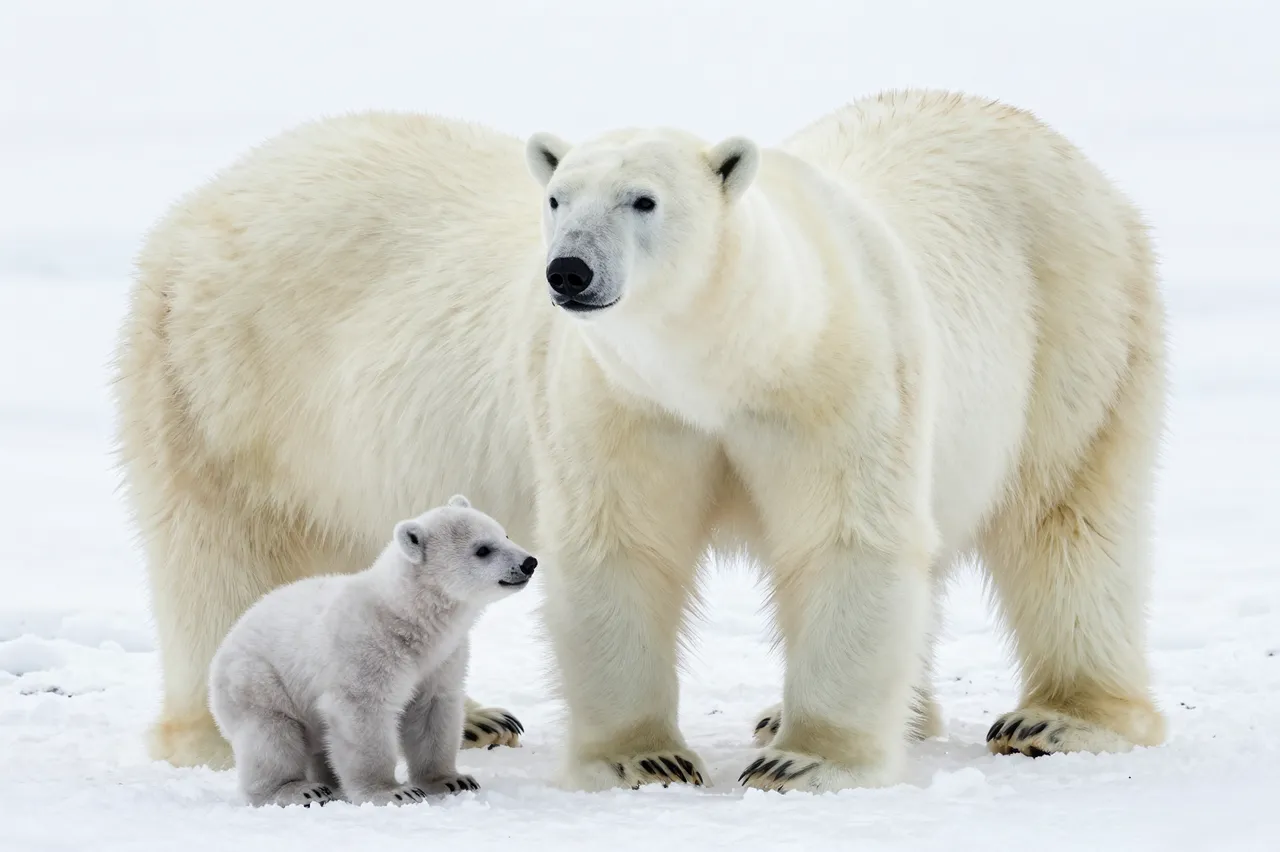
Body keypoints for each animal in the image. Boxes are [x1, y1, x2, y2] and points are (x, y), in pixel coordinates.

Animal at [207, 494, 538, 807]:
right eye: (482, 549)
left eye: (504, 534)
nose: (529, 562)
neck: (407, 615)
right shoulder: (367, 648)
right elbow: (363, 714)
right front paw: (392, 792)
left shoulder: (443, 657)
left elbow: (431, 712)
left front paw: (452, 780)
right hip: (258, 680)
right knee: (271, 736)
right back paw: (298, 790)